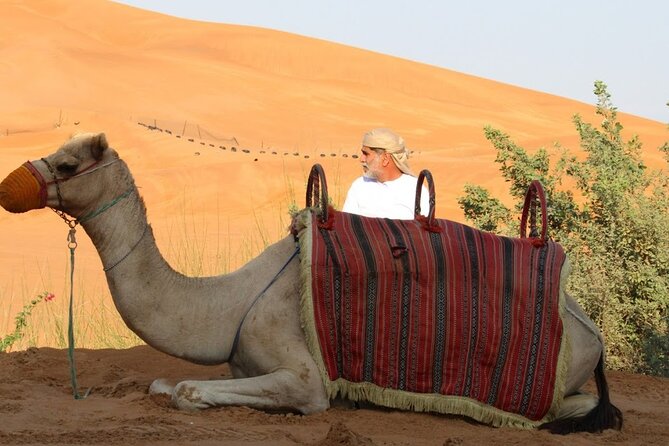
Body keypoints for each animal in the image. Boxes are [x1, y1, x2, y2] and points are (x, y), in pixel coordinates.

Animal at [0, 133, 622, 434]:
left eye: (69, 164)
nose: (10, 185)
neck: (231, 304)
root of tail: (589, 326)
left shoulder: (305, 378)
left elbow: (188, 391)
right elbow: (160, 385)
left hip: (560, 374)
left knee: (580, 404)